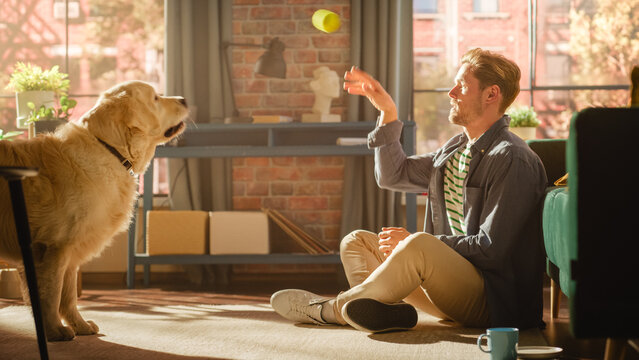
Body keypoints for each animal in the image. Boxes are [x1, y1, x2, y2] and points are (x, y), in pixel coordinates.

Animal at [0, 81, 189, 340]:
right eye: (155, 98)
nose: (184, 99)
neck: (110, 150)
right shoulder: (54, 247)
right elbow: (51, 295)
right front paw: (54, 330)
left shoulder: (70, 250)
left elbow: (68, 296)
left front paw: (79, 326)